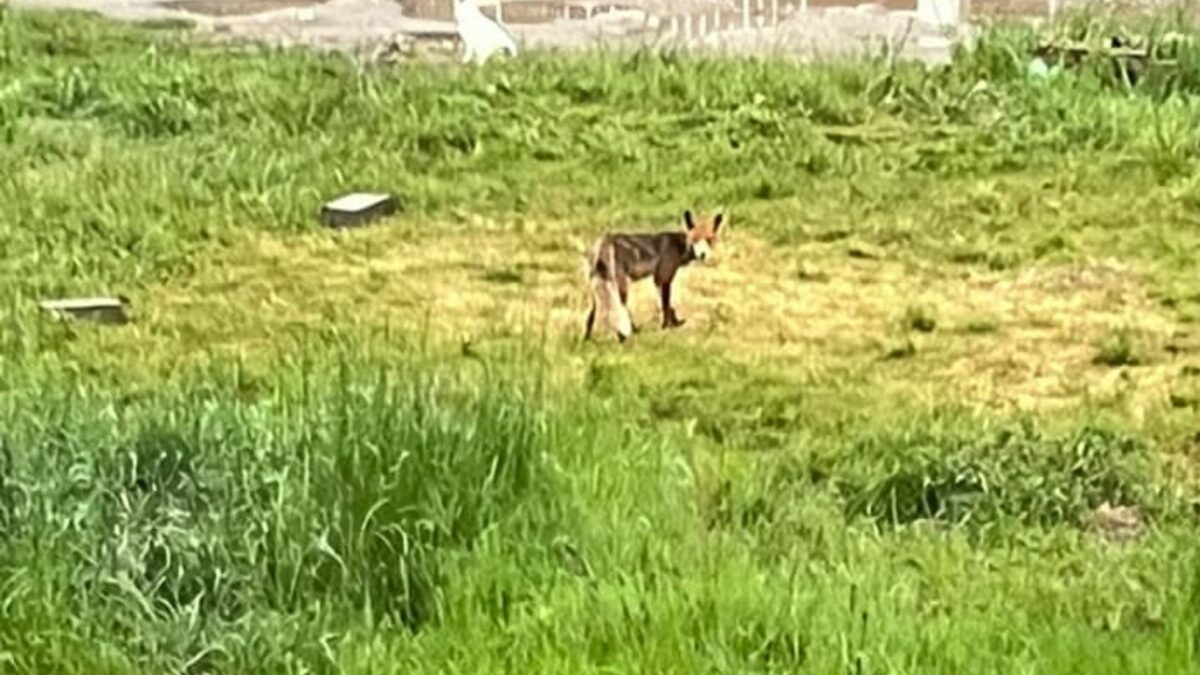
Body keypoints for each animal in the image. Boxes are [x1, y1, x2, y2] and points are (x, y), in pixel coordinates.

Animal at [580, 208, 720, 341]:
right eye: (694, 239)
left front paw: (672, 324)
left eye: (709, 240)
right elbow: (665, 305)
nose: (702, 255)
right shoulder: (664, 277)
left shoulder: (657, 279)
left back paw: (587, 339)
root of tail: (602, 241)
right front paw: (666, 328)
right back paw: (625, 335)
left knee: (591, 315)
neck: (679, 247)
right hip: (620, 285)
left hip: (596, 287)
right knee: (619, 310)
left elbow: (664, 306)